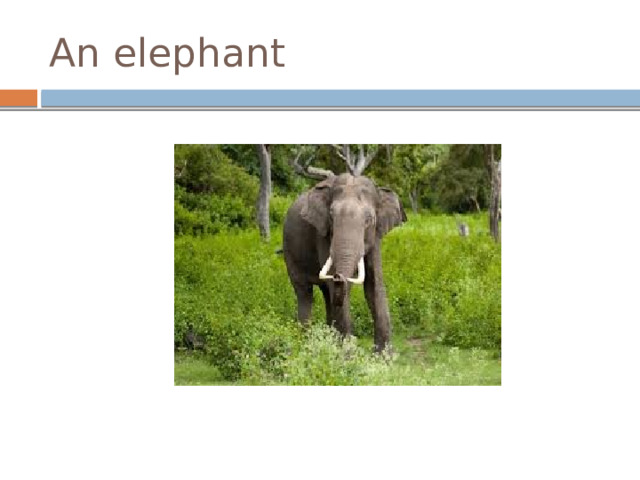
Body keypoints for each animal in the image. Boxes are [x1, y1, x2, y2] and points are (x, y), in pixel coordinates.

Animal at [283, 173, 407, 352]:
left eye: (369, 220)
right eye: (331, 216)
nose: (338, 275)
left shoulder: (376, 236)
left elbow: (374, 285)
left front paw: (384, 356)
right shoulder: (323, 234)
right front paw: (346, 355)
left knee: (327, 294)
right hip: (290, 252)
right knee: (305, 293)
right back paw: (304, 344)